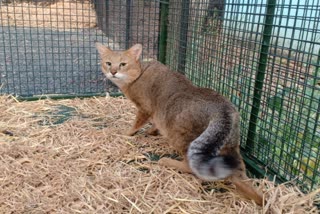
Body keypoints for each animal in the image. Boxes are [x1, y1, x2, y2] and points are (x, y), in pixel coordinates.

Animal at [96, 42, 264, 205]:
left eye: (123, 64)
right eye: (108, 63)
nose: (113, 72)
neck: (139, 73)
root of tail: (223, 109)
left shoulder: (145, 109)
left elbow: (135, 125)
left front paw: (126, 133)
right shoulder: (157, 113)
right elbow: (155, 123)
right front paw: (151, 131)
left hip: (181, 138)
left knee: (191, 166)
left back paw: (167, 161)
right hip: (231, 147)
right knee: (241, 175)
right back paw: (257, 198)